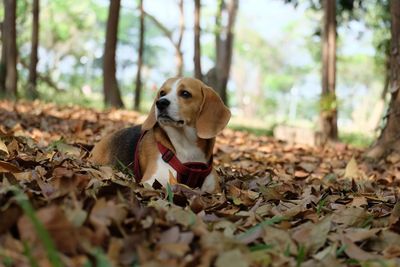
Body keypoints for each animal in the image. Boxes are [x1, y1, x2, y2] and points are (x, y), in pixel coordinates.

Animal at [89, 77, 230, 193]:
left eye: (185, 93)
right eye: (162, 93)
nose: (161, 102)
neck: (187, 146)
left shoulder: (214, 191)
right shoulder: (151, 181)